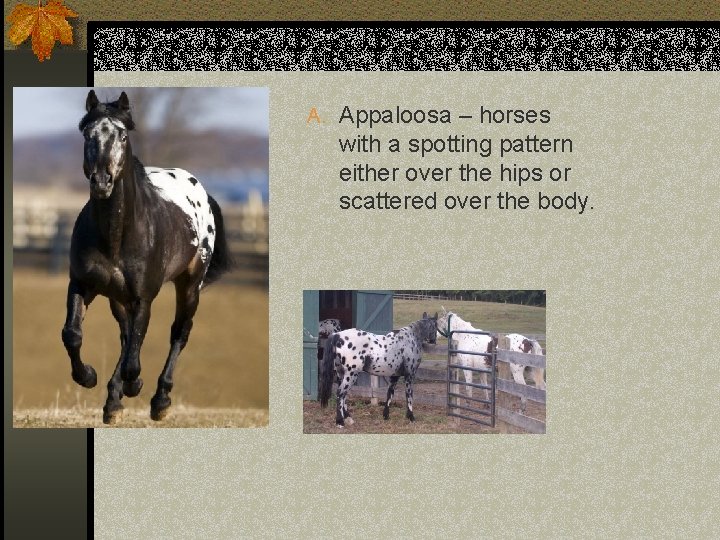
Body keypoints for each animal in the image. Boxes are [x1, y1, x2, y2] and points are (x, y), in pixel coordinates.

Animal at [61, 90, 231, 424]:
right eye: (88, 134)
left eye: (123, 135)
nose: (102, 181)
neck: (116, 235)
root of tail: (202, 191)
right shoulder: (82, 285)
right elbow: (72, 335)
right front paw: (89, 376)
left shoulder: (143, 298)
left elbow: (134, 357)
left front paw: (133, 385)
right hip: (117, 298)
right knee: (126, 336)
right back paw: (114, 402)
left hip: (190, 285)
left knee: (179, 333)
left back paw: (159, 400)